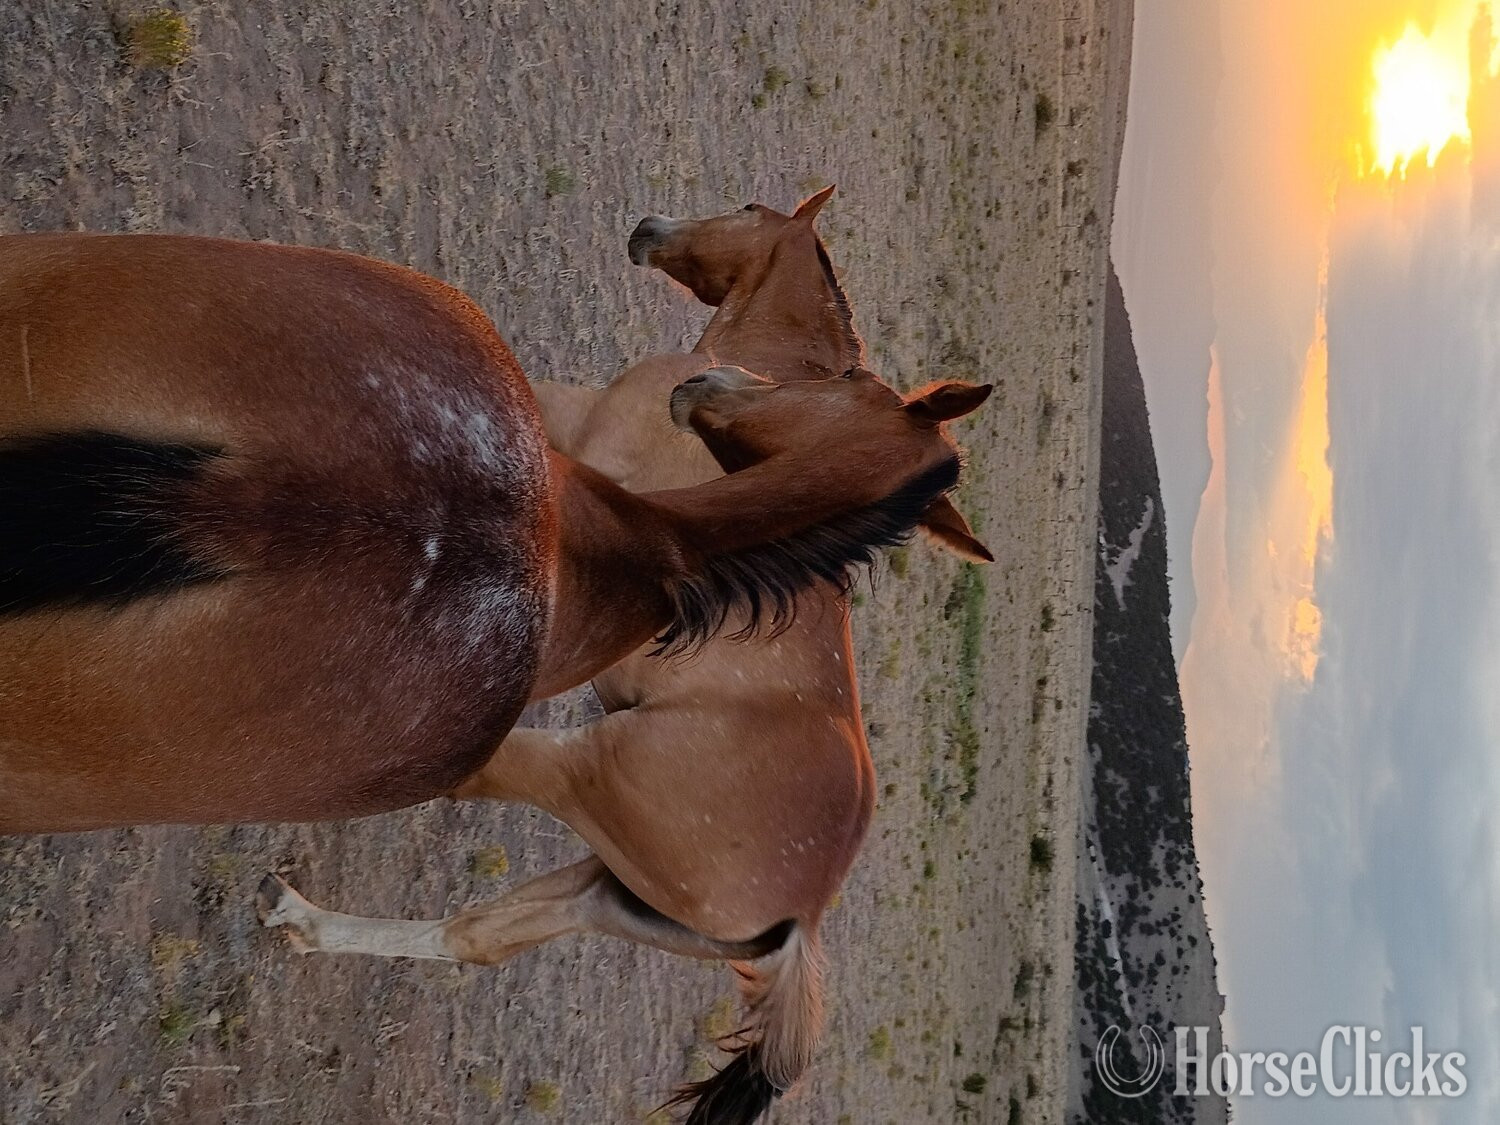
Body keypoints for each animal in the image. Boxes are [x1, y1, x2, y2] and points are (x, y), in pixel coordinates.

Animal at [258, 191, 994, 1124]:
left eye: (750, 208)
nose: (651, 230)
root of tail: (806, 913)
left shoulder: (579, 435)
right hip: (608, 888)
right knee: (477, 935)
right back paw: (298, 914)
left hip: (576, 772)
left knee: (465, 778)